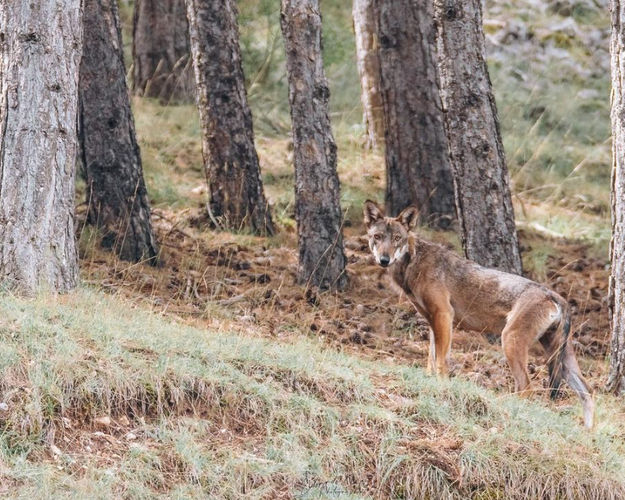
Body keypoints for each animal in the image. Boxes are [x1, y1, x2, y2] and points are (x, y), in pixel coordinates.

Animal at [364, 201, 592, 428]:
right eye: (377, 237)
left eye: (397, 238)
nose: (384, 260)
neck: (413, 262)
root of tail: (557, 297)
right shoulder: (432, 321)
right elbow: (430, 361)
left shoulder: (444, 315)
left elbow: (441, 362)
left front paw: (443, 389)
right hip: (560, 358)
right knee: (587, 391)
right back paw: (588, 432)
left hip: (511, 342)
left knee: (526, 387)